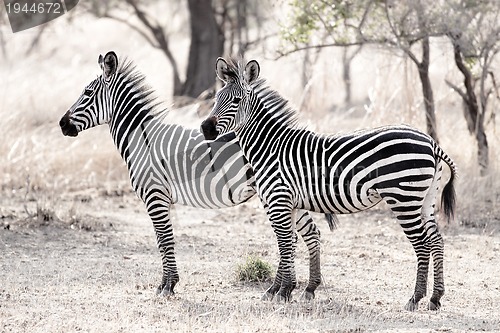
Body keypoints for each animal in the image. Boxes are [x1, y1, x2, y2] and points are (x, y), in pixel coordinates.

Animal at [58, 51, 334, 296]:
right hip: (288, 194)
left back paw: (286, 288)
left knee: (293, 236)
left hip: (276, 193)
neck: (143, 140)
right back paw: (305, 288)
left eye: (87, 93)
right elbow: (164, 240)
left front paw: (167, 286)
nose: (62, 124)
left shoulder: (155, 195)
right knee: (308, 233)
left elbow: (164, 240)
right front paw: (168, 283)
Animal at [200, 56, 458, 308]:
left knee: (422, 244)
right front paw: (285, 289)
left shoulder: (278, 200)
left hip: (404, 198)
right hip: (425, 199)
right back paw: (435, 298)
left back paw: (415, 298)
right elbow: (291, 242)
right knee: (436, 240)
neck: (269, 146)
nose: (205, 128)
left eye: (236, 100)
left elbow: (284, 243)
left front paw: (281, 292)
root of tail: (430, 141)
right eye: (215, 99)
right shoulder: (290, 203)